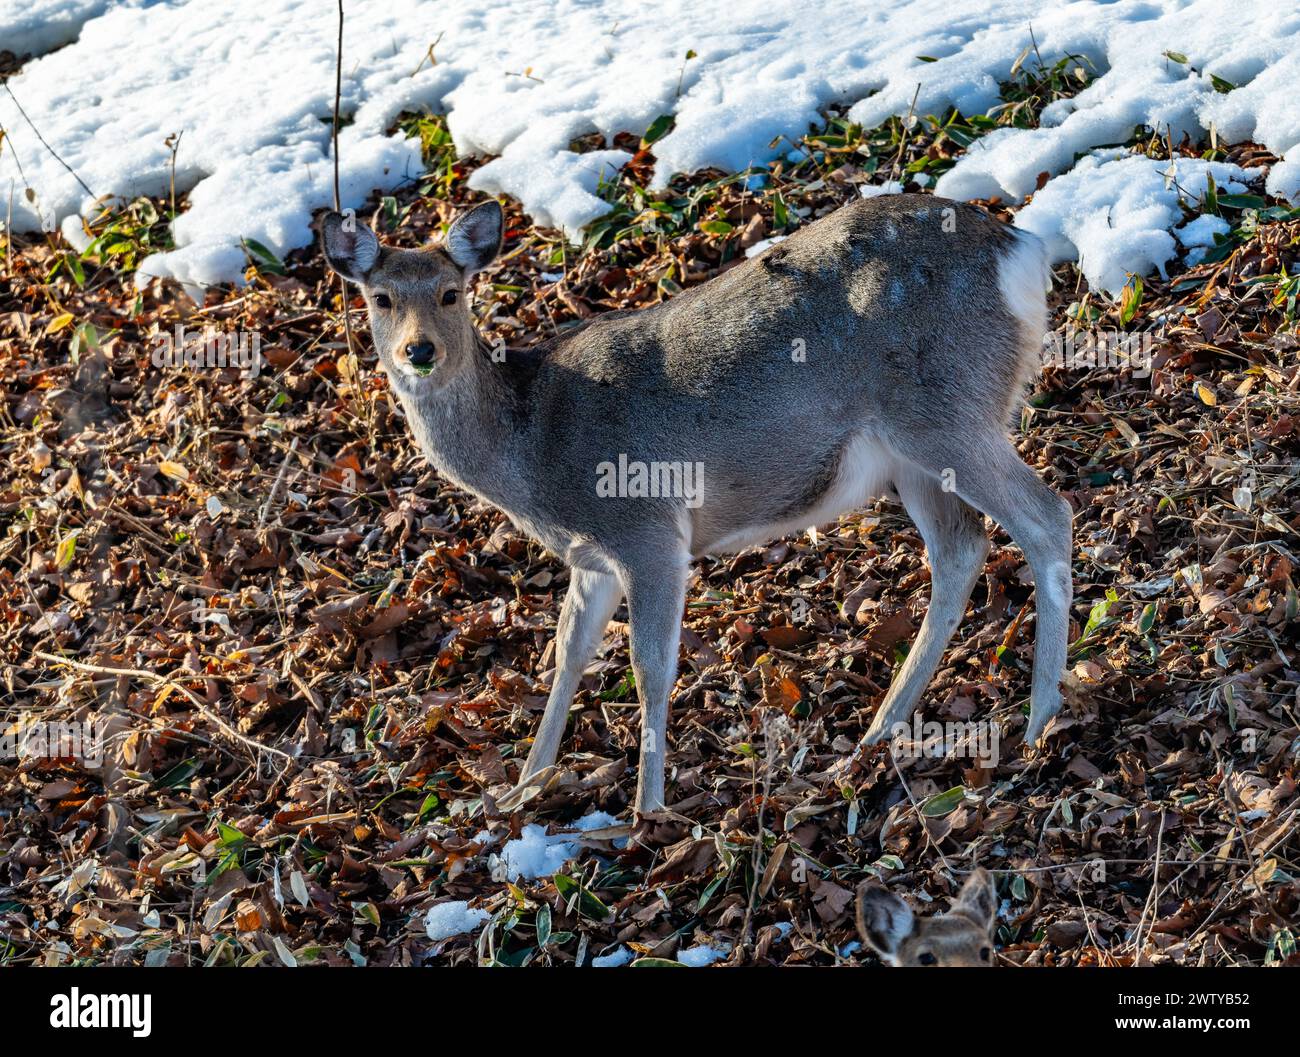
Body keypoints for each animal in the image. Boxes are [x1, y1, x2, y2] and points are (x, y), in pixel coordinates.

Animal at [319, 191, 1071, 816]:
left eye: (451, 293)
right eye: (381, 298)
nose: (420, 351)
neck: (531, 452)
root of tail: (1022, 249)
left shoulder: (646, 529)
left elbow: (649, 666)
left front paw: (645, 808)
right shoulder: (590, 557)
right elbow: (566, 653)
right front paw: (521, 790)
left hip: (946, 408)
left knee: (1047, 515)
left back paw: (1039, 722)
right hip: (912, 455)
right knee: (962, 548)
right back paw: (878, 733)